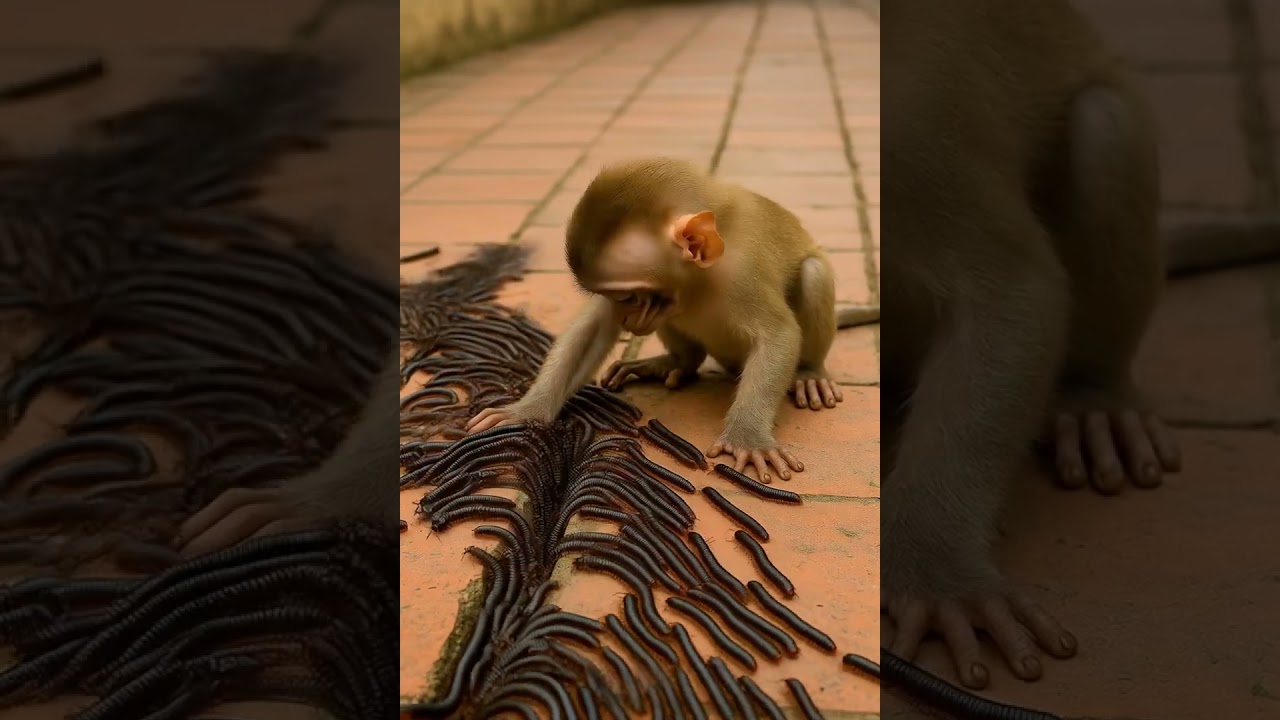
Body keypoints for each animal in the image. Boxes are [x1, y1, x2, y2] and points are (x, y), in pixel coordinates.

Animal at [466, 157, 872, 482]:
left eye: (631, 296)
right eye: (618, 298)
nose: (627, 315)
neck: (702, 278)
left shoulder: (743, 274)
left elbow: (778, 334)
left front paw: (748, 436)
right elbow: (594, 327)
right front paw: (527, 411)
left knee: (814, 273)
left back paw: (808, 372)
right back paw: (675, 362)